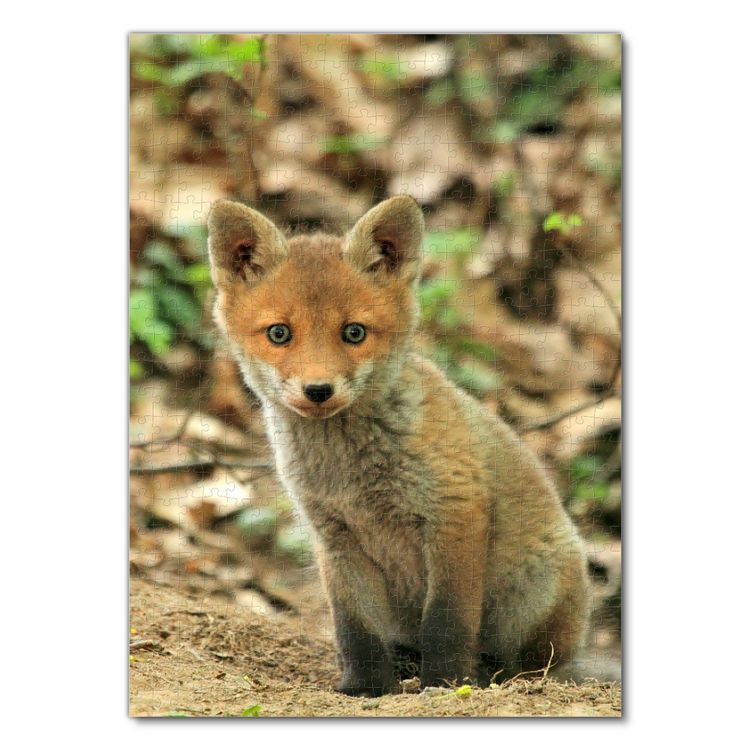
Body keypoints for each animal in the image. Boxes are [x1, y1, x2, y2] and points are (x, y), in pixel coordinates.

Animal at [207, 195, 591, 696]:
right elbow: (356, 630)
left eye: (354, 332)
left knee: (531, 664)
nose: (318, 390)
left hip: (535, 593)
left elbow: (446, 623)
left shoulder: (455, 512)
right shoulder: (335, 537)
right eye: (279, 333)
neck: (351, 477)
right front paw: (364, 687)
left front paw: (446, 683)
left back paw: (493, 675)